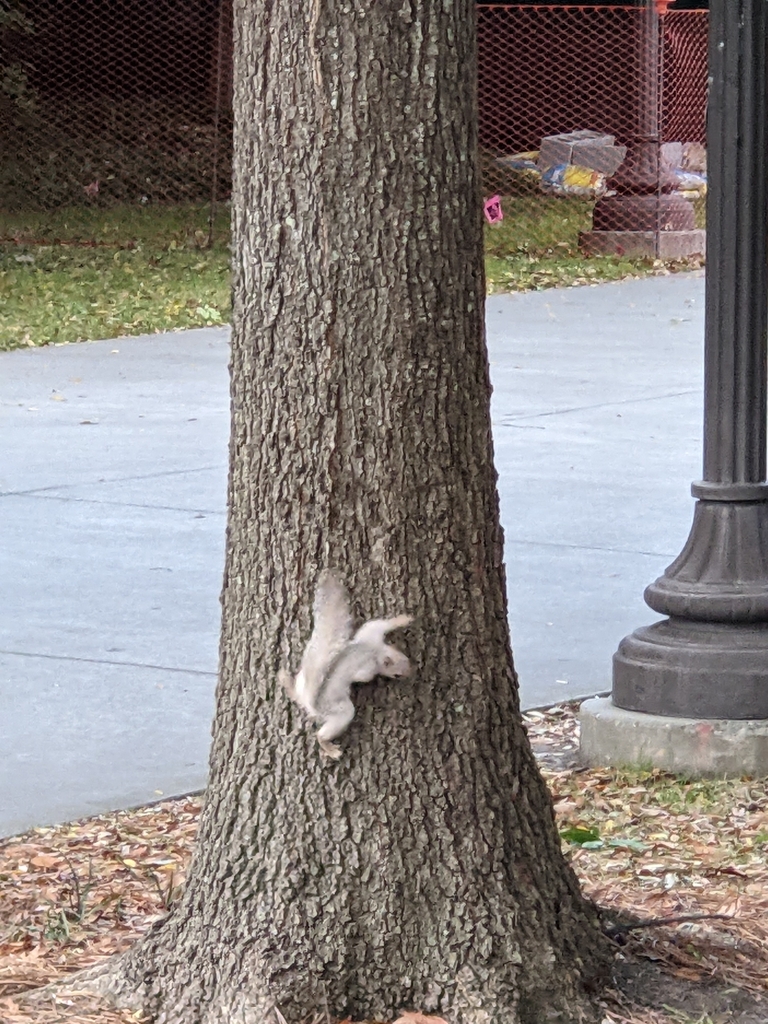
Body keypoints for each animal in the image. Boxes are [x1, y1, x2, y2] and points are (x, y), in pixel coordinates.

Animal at [280, 573, 415, 757]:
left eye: (405, 657)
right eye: (397, 674)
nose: (411, 672)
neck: (374, 650)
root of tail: (312, 703)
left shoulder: (372, 633)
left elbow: (382, 623)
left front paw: (403, 620)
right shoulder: (367, 666)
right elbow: (363, 677)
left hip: (302, 679)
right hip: (339, 710)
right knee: (323, 732)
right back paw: (330, 750)